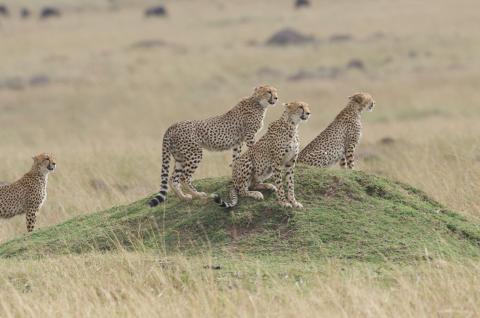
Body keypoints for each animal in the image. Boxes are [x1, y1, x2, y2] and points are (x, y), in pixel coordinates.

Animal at [148, 84, 280, 206]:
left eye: (275, 91)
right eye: (269, 91)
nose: (276, 97)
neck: (257, 102)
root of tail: (173, 125)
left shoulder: (238, 142)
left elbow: (236, 158)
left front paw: (236, 173)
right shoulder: (249, 136)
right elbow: (254, 152)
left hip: (180, 157)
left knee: (173, 179)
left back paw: (184, 197)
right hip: (194, 154)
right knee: (184, 178)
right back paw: (198, 194)